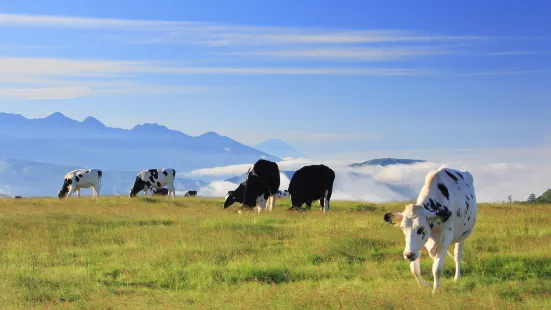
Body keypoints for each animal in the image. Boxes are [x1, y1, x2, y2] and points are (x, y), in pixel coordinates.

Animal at [384, 165, 478, 294]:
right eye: (402, 227)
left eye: (421, 228)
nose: (408, 254)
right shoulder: (417, 246)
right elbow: (414, 269)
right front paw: (426, 285)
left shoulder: (445, 240)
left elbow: (437, 268)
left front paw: (435, 290)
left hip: (461, 236)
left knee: (458, 255)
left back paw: (456, 278)